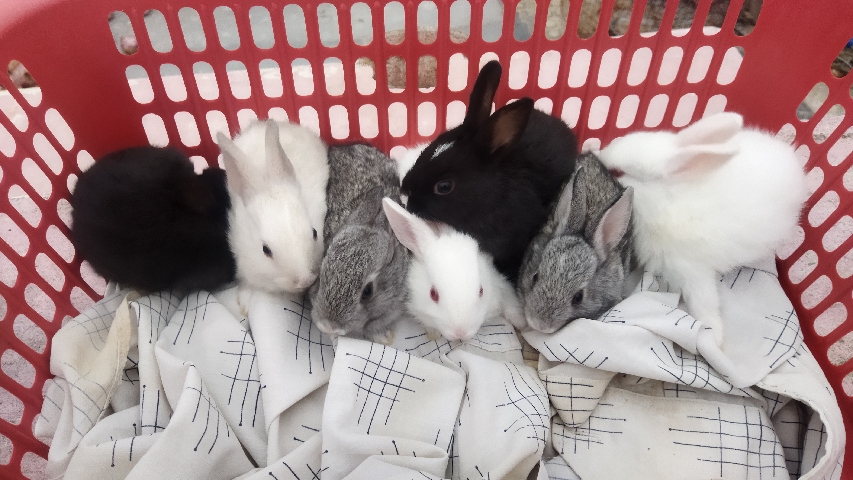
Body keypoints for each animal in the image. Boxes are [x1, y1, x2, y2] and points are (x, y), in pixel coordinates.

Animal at [383, 198, 525, 341]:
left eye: (481, 291)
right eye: (433, 294)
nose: (460, 333)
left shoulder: (499, 282)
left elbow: (510, 303)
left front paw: (523, 325)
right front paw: (434, 333)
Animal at [598, 112, 809, 346]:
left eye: (618, 171)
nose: (596, 153)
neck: (667, 201)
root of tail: (793, 161)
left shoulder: (691, 270)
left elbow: (705, 303)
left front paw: (715, 339)